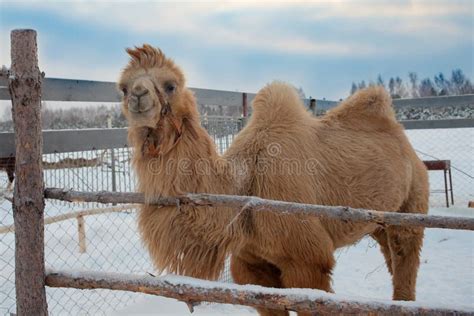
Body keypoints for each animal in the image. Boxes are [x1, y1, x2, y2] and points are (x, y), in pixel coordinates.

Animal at [118, 45, 430, 316]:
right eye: (122, 87)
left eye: (171, 85)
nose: (138, 95)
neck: (244, 191)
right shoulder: (250, 263)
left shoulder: (309, 262)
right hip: (379, 221)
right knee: (391, 255)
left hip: (412, 201)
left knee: (406, 255)